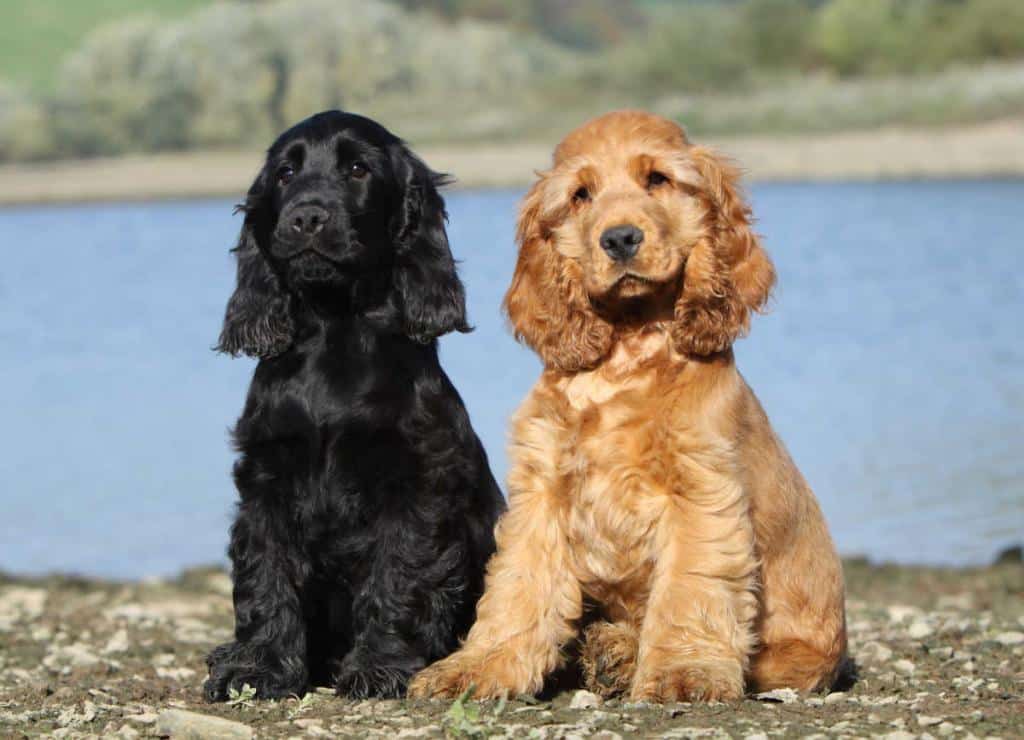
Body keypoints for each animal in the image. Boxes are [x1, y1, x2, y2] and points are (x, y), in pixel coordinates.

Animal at [201, 108, 505, 700]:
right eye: (285, 173)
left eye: (359, 169)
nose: (305, 217)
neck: (333, 332)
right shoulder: (267, 479)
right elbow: (265, 574)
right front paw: (259, 668)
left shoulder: (415, 481)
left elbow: (399, 571)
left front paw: (380, 667)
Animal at [407, 113, 847, 704]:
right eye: (580, 194)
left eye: (657, 179)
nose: (619, 238)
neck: (624, 353)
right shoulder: (543, 494)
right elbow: (518, 587)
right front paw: (478, 667)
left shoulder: (699, 494)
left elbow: (689, 589)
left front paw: (684, 673)